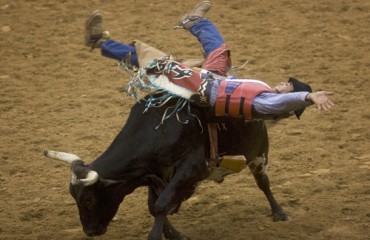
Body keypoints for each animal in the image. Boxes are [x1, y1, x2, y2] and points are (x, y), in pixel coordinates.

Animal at [45, 96, 290, 239]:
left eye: (88, 199)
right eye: (74, 197)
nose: (90, 231)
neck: (159, 129)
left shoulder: (193, 167)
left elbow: (159, 206)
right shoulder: (153, 177)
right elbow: (154, 206)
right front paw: (175, 235)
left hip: (259, 154)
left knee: (263, 183)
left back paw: (279, 213)